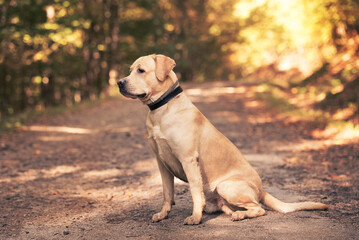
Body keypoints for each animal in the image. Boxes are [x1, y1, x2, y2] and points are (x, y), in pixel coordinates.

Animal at [118, 54, 330, 225]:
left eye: (141, 70)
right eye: (130, 70)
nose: (119, 82)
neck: (161, 109)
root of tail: (262, 189)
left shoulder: (188, 160)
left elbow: (195, 192)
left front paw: (195, 217)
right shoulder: (162, 163)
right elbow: (167, 193)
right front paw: (163, 214)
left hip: (225, 185)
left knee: (259, 208)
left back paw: (239, 215)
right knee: (236, 208)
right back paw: (234, 213)